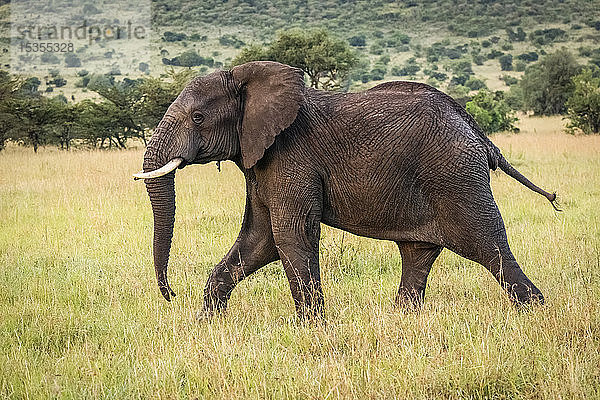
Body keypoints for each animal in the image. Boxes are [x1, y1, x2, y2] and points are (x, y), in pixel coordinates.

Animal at [134, 61, 556, 320]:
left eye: (198, 117)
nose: (171, 295)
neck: (249, 79)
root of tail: (476, 129)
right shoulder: (260, 164)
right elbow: (259, 241)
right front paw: (206, 323)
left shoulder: (291, 158)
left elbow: (289, 236)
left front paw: (312, 329)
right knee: (418, 254)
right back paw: (401, 320)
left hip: (457, 178)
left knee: (490, 247)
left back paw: (537, 313)